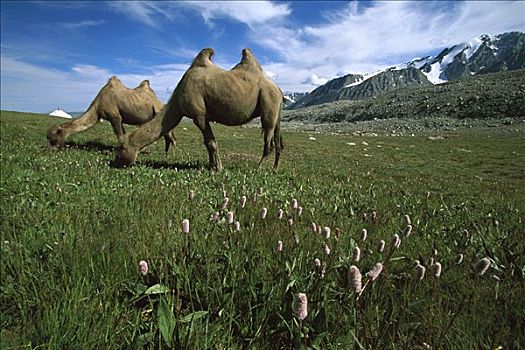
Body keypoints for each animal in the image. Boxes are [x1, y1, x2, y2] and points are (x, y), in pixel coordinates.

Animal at [115, 47, 282, 171]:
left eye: (121, 148)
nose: (116, 162)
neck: (178, 98)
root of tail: (279, 90)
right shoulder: (203, 117)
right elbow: (207, 143)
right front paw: (211, 166)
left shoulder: (199, 115)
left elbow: (211, 142)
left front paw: (218, 168)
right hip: (275, 112)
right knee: (278, 141)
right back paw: (274, 169)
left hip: (268, 102)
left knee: (269, 143)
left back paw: (258, 168)